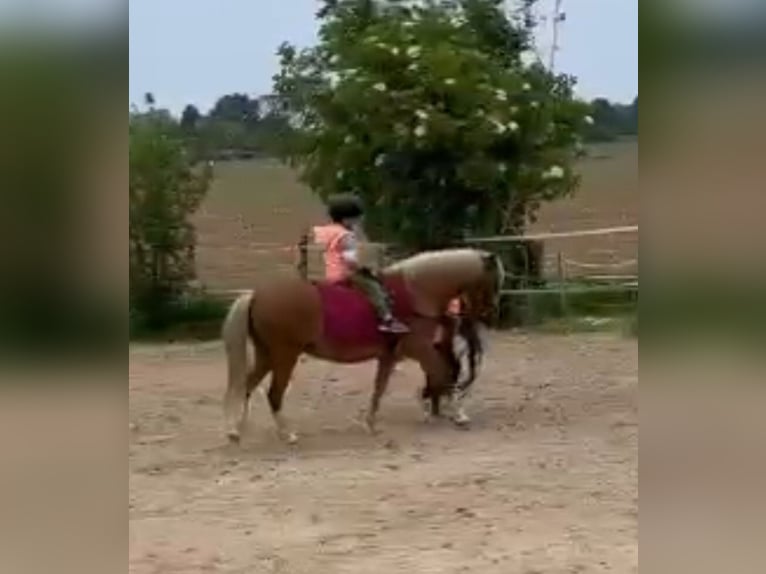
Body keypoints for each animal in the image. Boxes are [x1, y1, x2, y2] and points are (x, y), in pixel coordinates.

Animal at [222, 248, 504, 446]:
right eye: (494, 281)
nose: (491, 313)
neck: (417, 292)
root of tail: (257, 295)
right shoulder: (420, 349)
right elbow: (444, 374)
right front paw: (457, 413)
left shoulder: (389, 356)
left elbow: (380, 388)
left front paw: (371, 423)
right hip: (285, 355)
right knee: (273, 394)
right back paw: (287, 435)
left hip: (267, 354)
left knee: (247, 386)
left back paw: (236, 431)